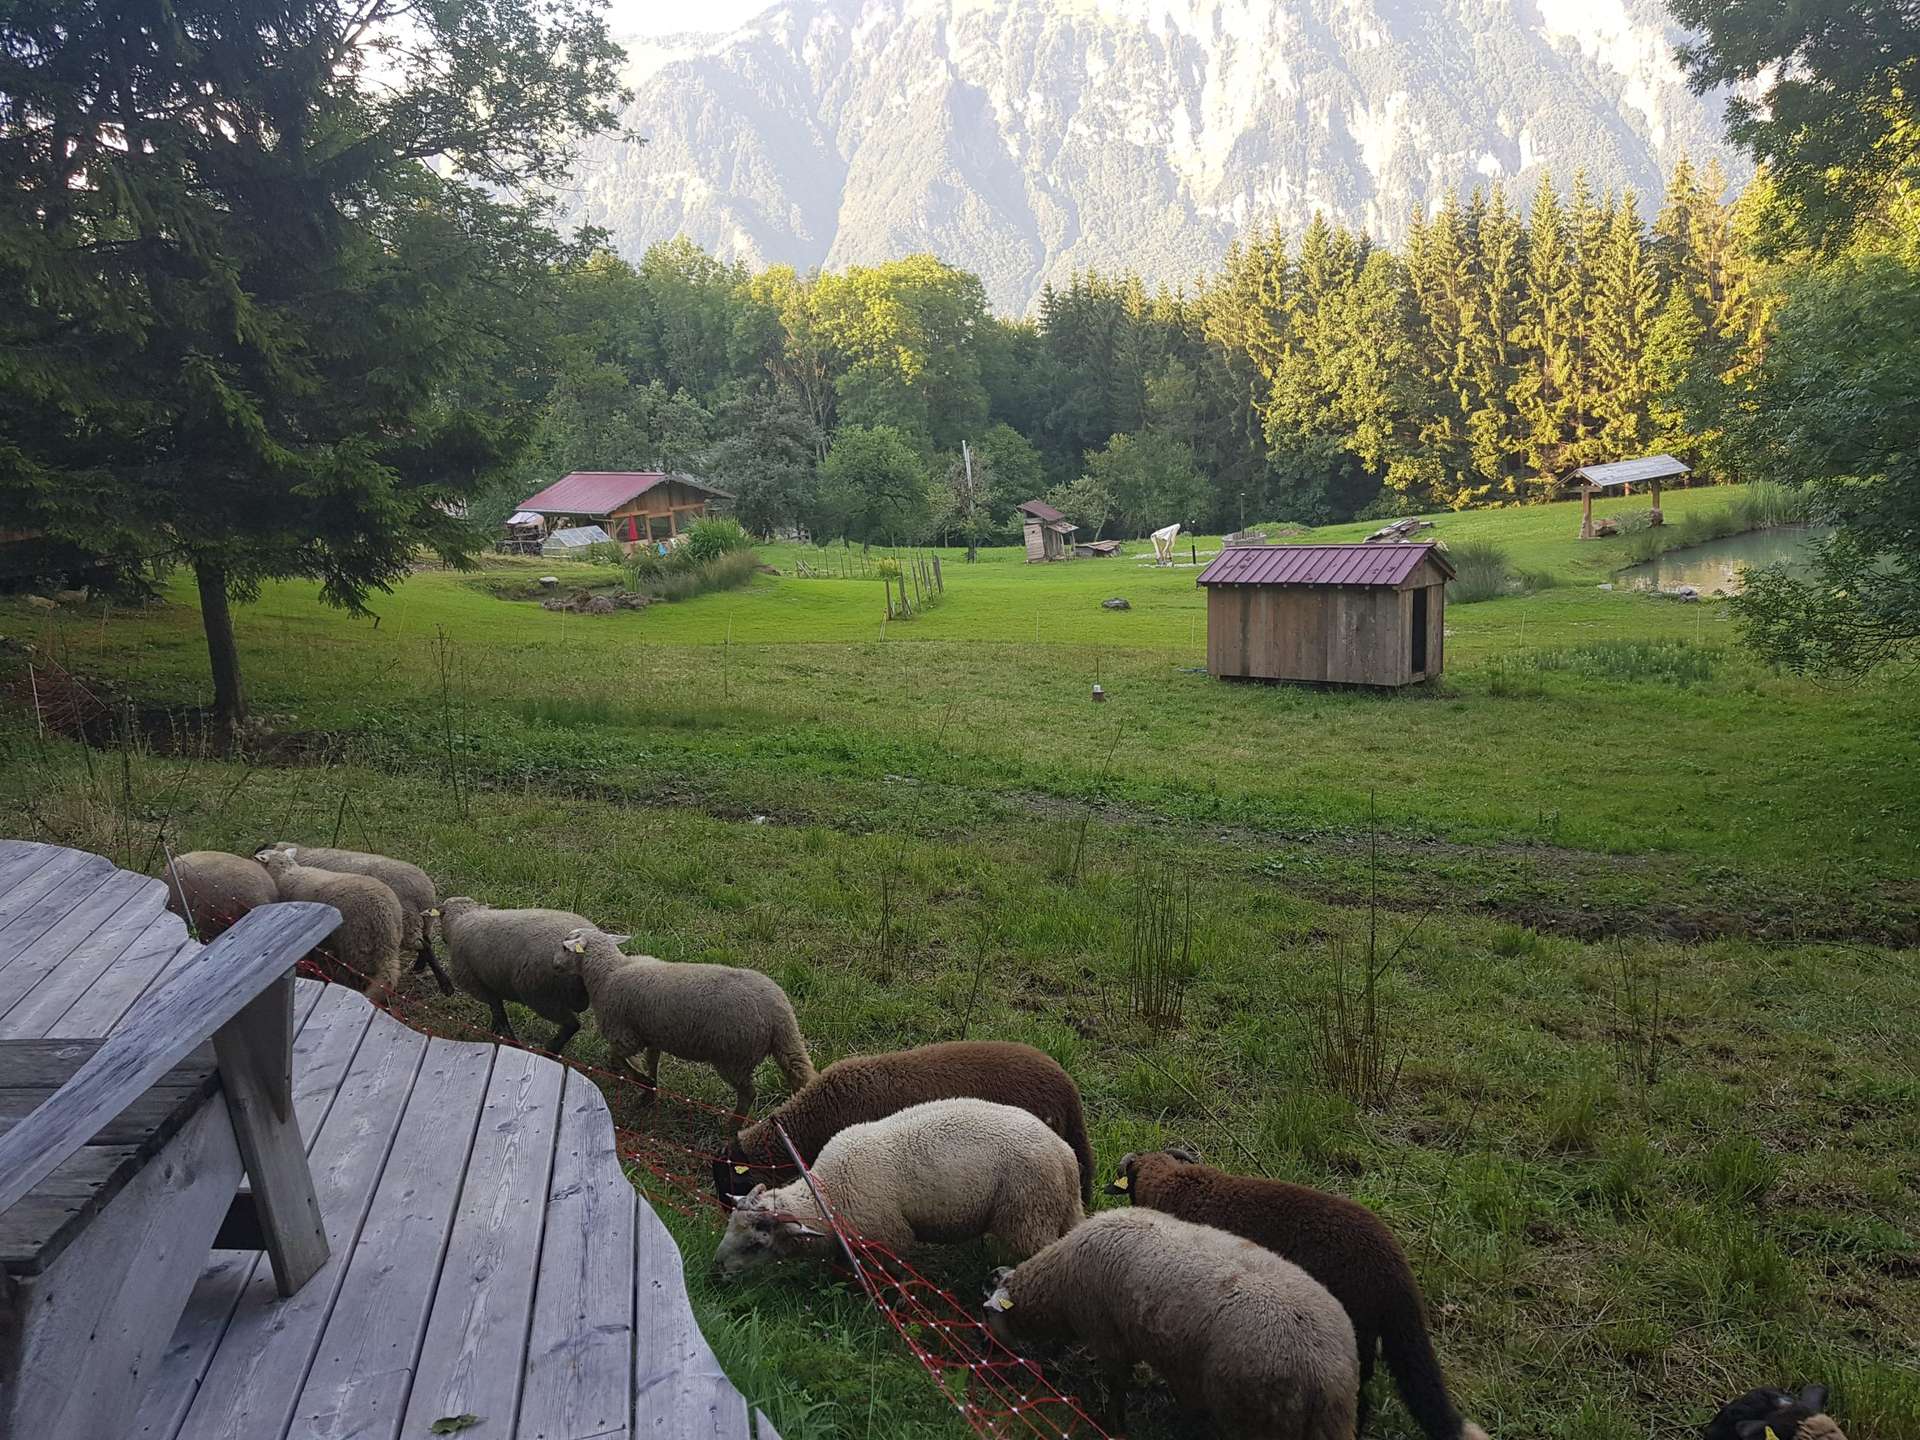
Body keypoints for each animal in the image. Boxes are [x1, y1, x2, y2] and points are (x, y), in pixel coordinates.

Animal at [259, 843, 453, 994]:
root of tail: (426, 891)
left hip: (403, 923)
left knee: (422, 946)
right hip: (421, 922)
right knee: (426, 944)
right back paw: (425, 972)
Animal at [437, 897, 605, 1053]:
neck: (460, 919)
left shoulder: (478, 986)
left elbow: (498, 1011)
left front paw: (508, 1038)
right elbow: (498, 1011)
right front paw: (497, 1031)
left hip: (541, 996)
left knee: (572, 1024)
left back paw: (551, 1050)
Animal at [559, 926, 814, 1122]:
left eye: (563, 947)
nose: (554, 962)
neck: (610, 970)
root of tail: (780, 1015)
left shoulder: (625, 1035)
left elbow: (619, 1058)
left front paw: (642, 1081)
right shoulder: (652, 1034)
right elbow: (652, 1062)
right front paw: (649, 1092)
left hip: (734, 1057)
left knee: (749, 1094)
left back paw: (733, 1131)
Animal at [710, 1097, 1082, 1279]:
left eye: (756, 1244)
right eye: (730, 1227)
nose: (716, 1271)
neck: (827, 1195)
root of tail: (1065, 1155)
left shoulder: (890, 1238)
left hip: (1028, 1214)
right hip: (1053, 1212)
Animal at [981, 1207, 1359, 1440]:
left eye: (988, 1318)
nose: (987, 1363)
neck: (1059, 1282)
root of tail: (1330, 1376)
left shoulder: (1107, 1335)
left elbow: (1117, 1387)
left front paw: (1114, 1424)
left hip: (1255, 1417)